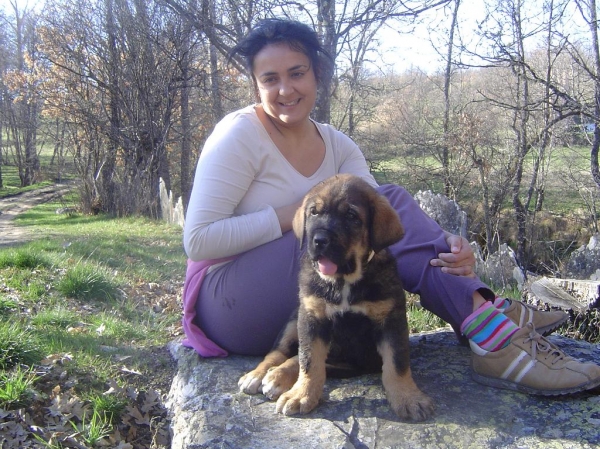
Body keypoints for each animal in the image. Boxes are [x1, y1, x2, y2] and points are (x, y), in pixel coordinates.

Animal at [237, 172, 434, 420]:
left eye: (351, 215)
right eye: (313, 212)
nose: (320, 240)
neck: (344, 281)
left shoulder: (391, 319)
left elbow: (397, 362)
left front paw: (407, 397)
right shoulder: (312, 316)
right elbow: (309, 360)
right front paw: (301, 395)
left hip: (344, 363)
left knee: (299, 359)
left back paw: (277, 376)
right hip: (295, 319)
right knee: (280, 353)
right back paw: (260, 374)